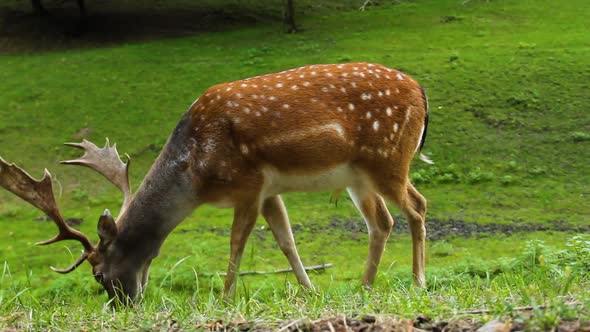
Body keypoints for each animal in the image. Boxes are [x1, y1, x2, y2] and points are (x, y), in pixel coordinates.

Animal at [1, 61, 434, 304]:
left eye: (99, 274)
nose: (123, 306)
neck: (196, 173)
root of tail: (421, 91)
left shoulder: (248, 183)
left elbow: (237, 241)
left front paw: (225, 297)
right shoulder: (269, 190)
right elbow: (286, 241)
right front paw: (310, 291)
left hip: (388, 158)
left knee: (417, 206)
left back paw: (417, 283)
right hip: (358, 176)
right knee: (382, 221)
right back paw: (365, 287)